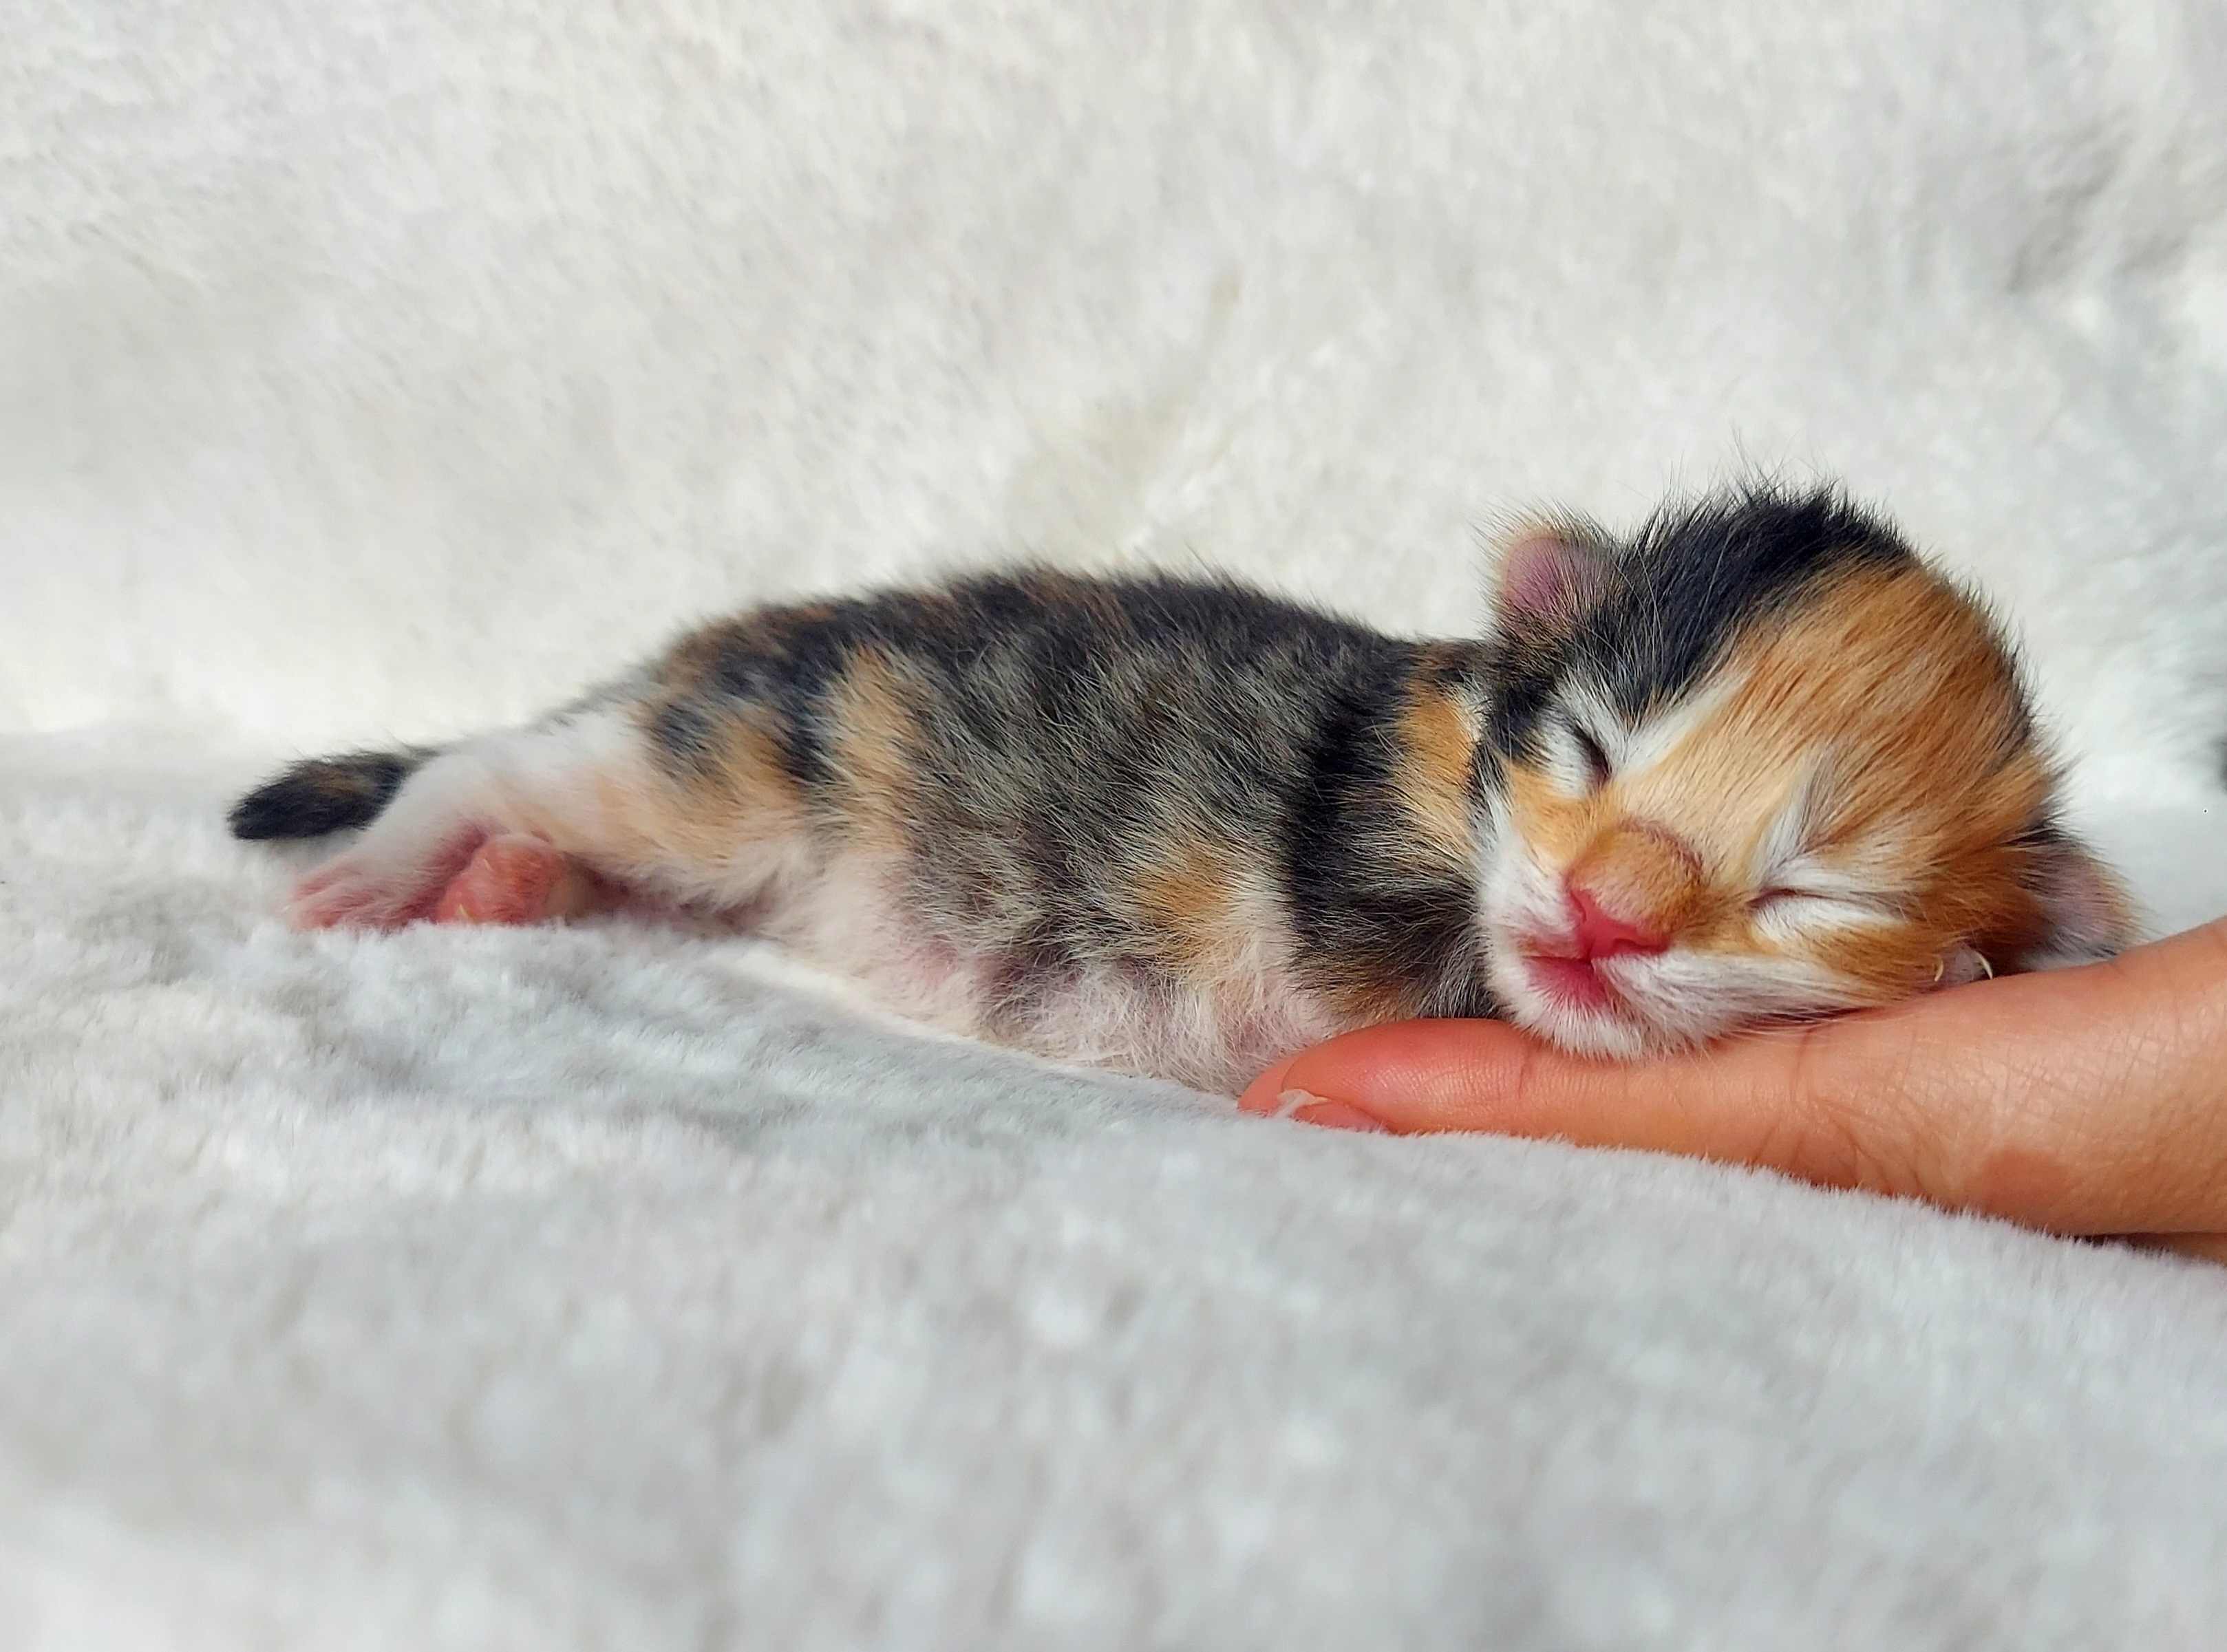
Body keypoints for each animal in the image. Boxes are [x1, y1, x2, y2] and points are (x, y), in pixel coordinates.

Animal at [230, 484, 2137, 1095]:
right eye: (1590, 753)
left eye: (1810, 891)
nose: (1606, 915)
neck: (1454, 752)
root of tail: (738, 643)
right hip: (744, 755)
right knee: (513, 757)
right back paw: (397, 859)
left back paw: (504, 885)